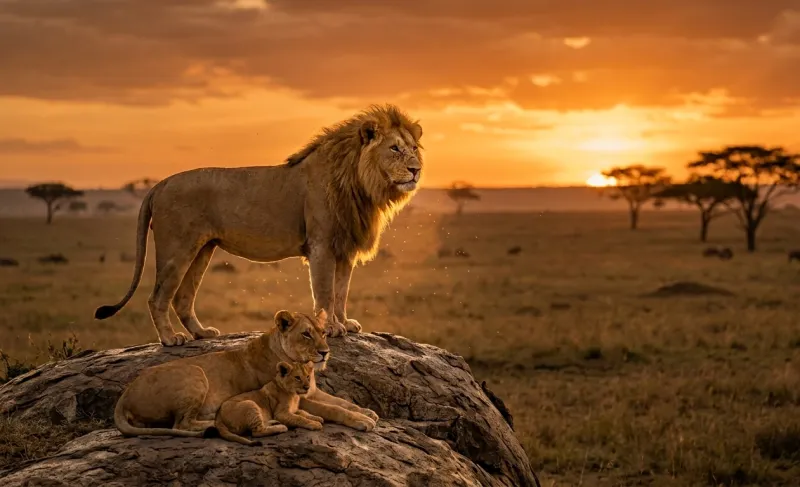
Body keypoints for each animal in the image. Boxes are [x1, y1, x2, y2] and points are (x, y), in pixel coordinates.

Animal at [94, 104, 424, 346]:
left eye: (414, 148)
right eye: (394, 148)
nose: (416, 170)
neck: (360, 184)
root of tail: (159, 184)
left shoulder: (345, 248)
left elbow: (341, 291)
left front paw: (345, 323)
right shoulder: (321, 246)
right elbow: (325, 293)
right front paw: (331, 328)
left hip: (202, 250)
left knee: (182, 298)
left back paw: (201, 334)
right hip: (177, 248)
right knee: (158, 297)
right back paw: (170, 339)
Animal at [114, 309, 330, 438]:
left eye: (324, 332)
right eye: (306, 334)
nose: (325, 352)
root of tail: (125, 395)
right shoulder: (299, 396)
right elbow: (330, 409)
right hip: (195, 372)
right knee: (181, 425)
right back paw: (214, 423)